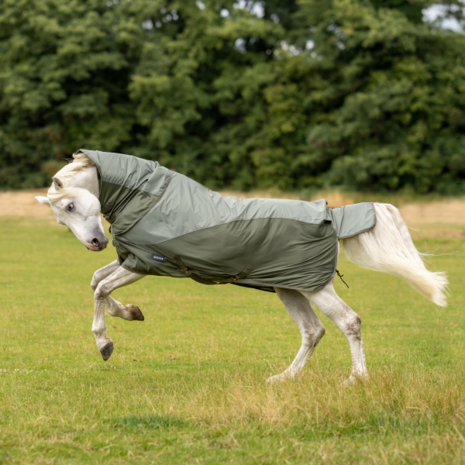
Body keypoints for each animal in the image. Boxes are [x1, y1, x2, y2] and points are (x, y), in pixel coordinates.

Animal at [36, 154, 446, 382]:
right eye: (62, 216)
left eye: (70, 205)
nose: (95, 242)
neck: (147, 198)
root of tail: (332, 215)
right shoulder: (131, 259)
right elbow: (96, 282)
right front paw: (131, 313)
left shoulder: (146, 263)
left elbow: (101, 288)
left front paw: (105, 343)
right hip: (289, 288)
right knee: (313, 331)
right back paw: (283, 379)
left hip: (314, 286)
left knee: (349, 322)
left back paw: (355, 379)